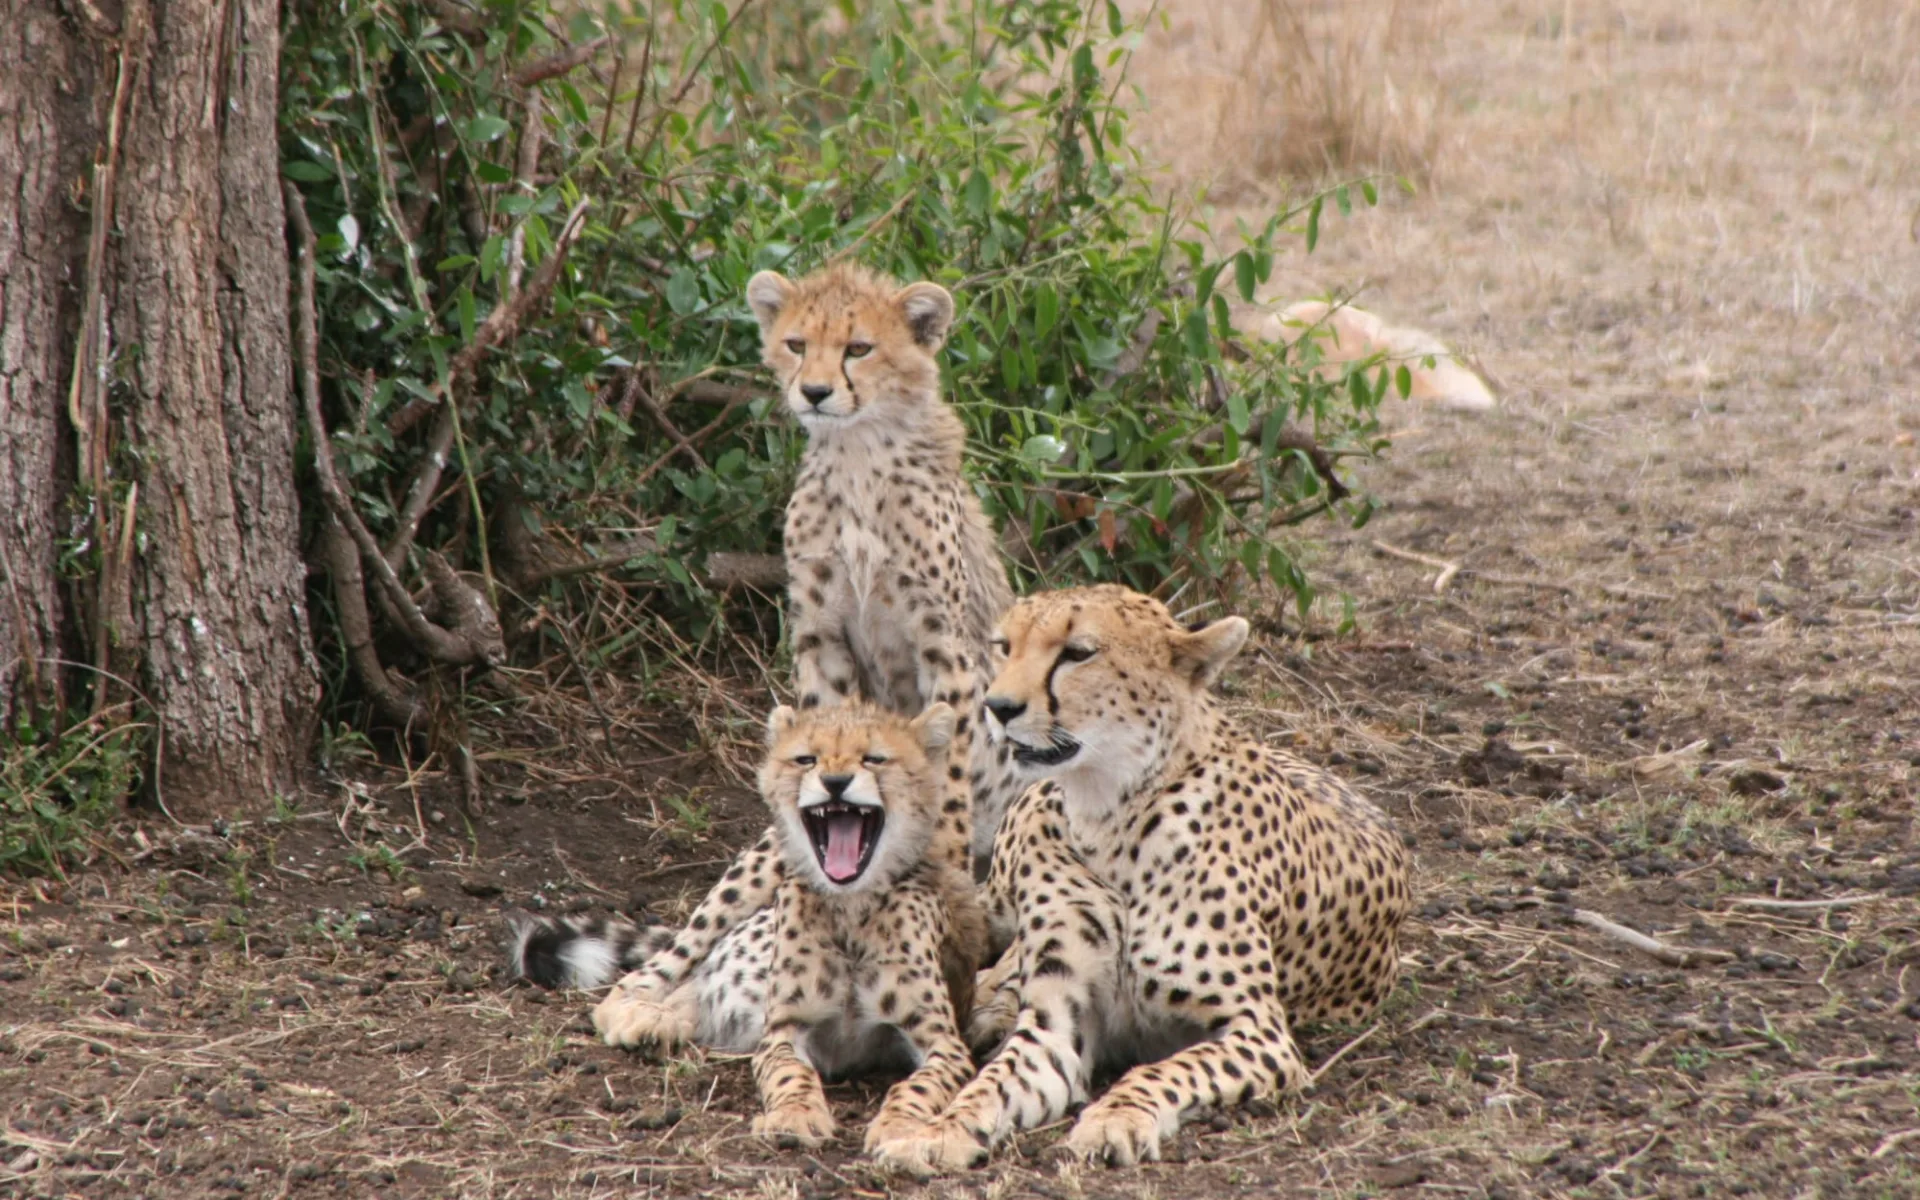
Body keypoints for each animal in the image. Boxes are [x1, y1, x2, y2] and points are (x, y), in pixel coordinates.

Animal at [564, 266, 1029, 1052]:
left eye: (860, 348)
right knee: (699, 937)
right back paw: (641, 1000)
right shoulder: (821, 642)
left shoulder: (947, 654)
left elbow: (952, 784)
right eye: (796, 344)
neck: (858, 453)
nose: (812, 391)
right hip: (759, 858)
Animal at [741, 702, 990, 1152]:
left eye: (874, 758)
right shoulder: (784, 1029)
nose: (835, 782)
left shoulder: (942, 1039)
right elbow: (789, 1073)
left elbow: (919, 1085)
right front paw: (793, 1114)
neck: (851, 907)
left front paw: (898, 1126)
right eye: (806, 759)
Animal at [871, 583, 1413, 1175]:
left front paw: (1117, 1117)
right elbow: (993, 1084)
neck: (1112, 819)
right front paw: (939, 1131)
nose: (998, 707)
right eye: (1004, 646)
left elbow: (1165, 1070)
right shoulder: (1058, 1024)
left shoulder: (1260, 1032)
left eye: (1078, 653)